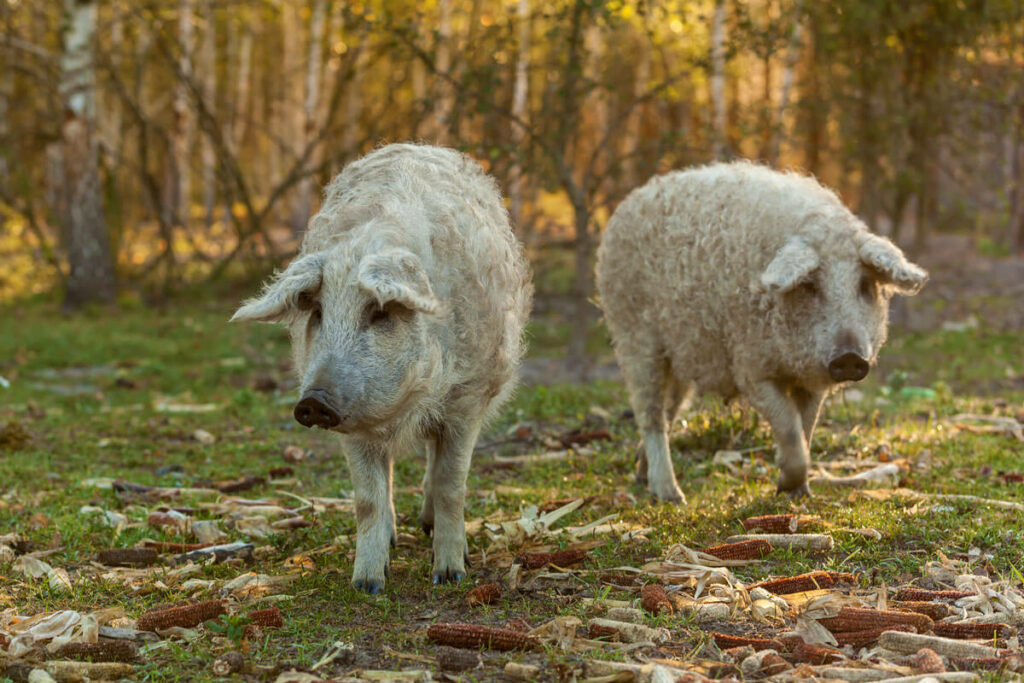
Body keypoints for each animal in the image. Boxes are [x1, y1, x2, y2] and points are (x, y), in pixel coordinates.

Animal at [229, 144, 532, 593]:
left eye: (380, 312)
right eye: (317, 312)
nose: (313, 401)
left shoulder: (468, 401)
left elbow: (451, 484)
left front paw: (449, 576)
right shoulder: (354, 425)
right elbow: (367, 500)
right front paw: (367, 585)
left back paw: (427, 527)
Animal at [593, 160, 929, 501]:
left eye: (864, 285)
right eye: (810, 285)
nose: (849, 357)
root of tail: (626, 204)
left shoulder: (812, 381)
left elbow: (806, 430)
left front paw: (799, 492)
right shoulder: (751, 368)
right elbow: (790, 430)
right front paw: (789, 488)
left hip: (678, 358)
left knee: (667, 412)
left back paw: (641, 477)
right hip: (635, 339)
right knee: (650, 417)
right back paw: (672, 496)